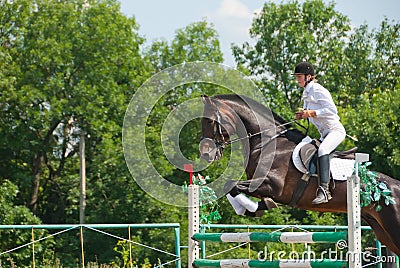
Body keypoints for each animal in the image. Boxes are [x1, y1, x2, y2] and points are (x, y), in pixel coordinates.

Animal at [199, 93, 400, 255]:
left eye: (210, 121)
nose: (205, 153)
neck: (269, 143)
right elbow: (231, 187)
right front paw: (254, 208)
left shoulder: (272, 186)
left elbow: (232, 185)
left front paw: (253, 207)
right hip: (383, 232)